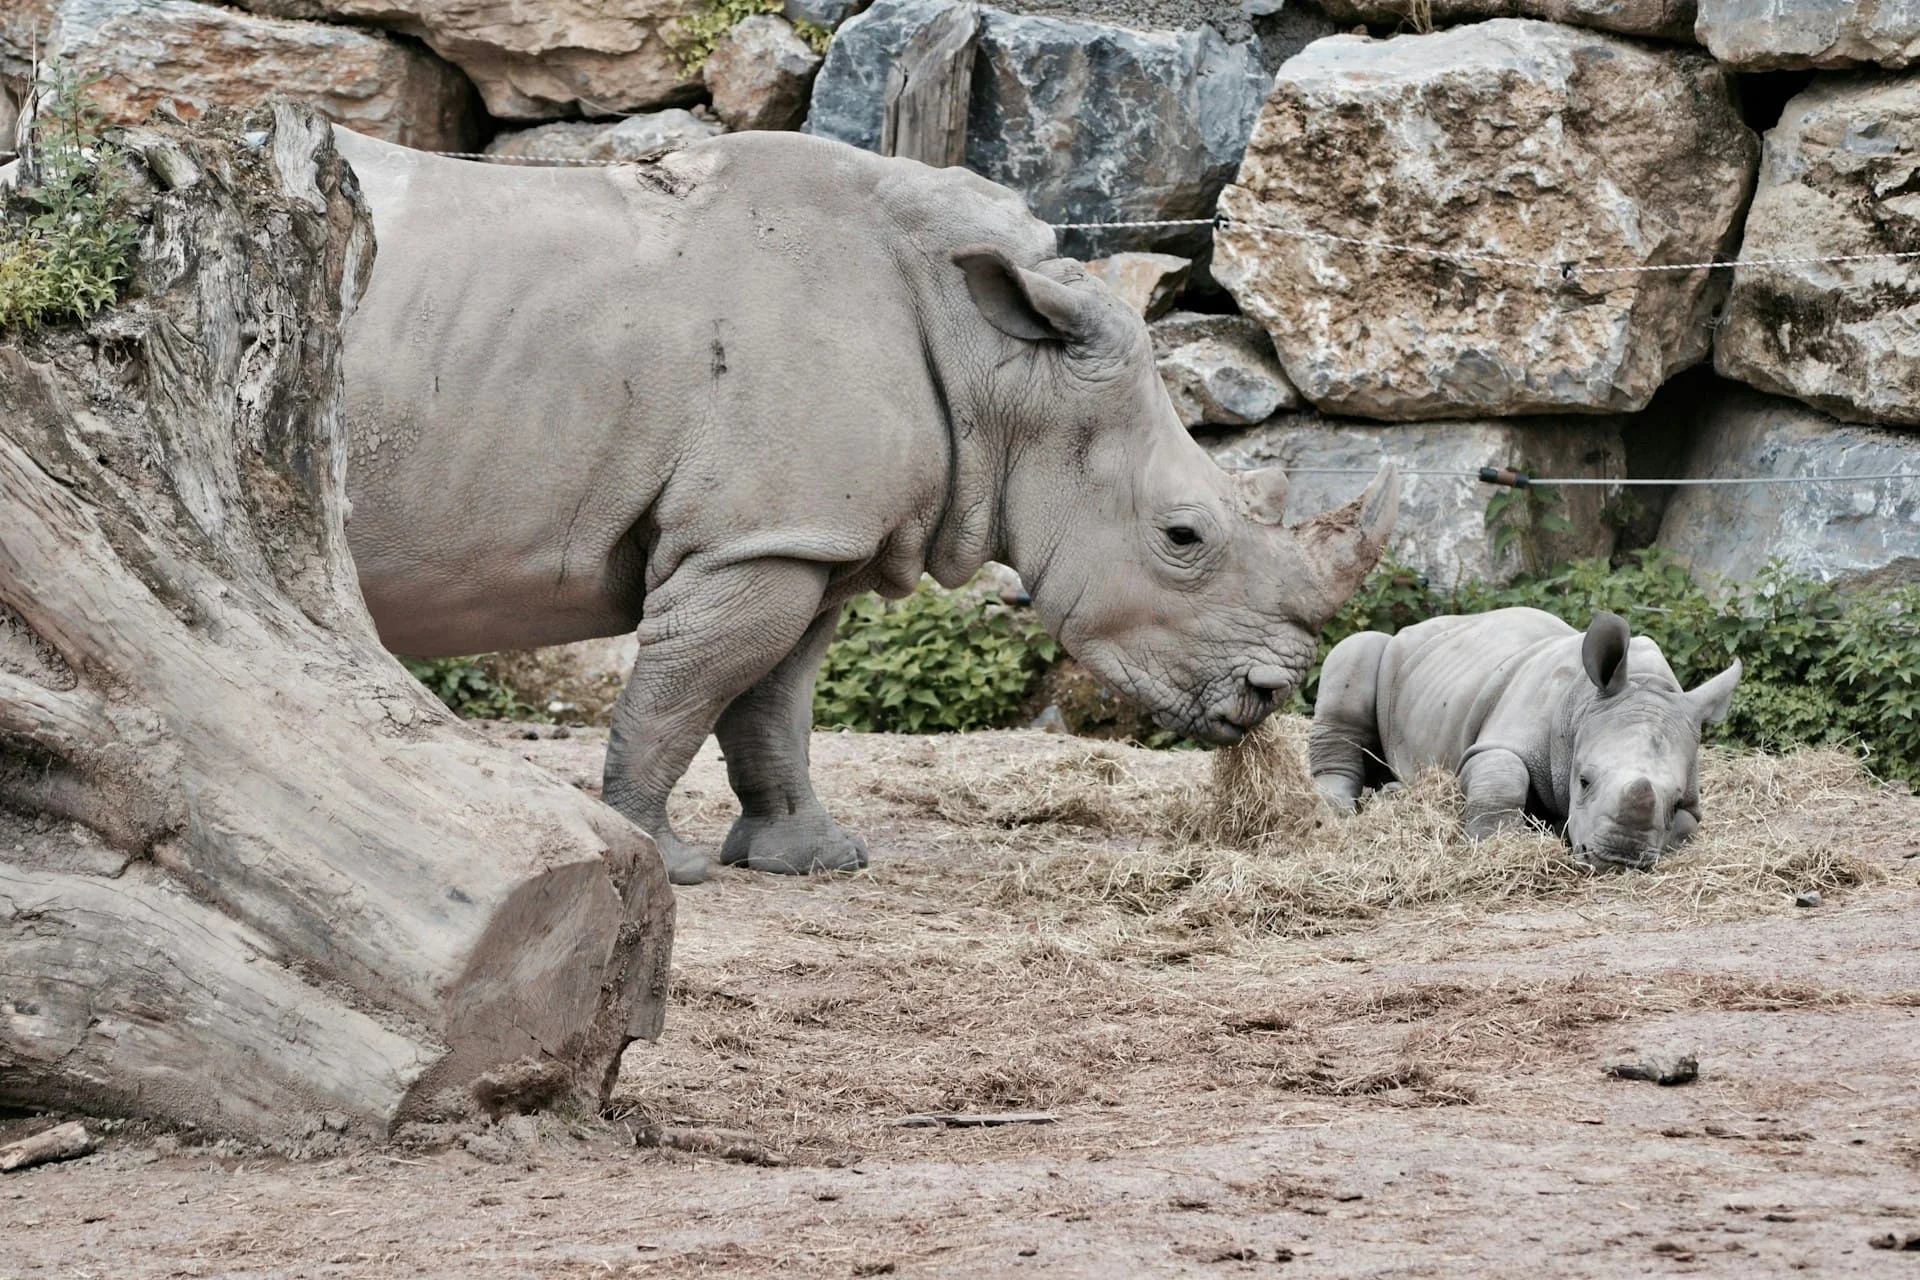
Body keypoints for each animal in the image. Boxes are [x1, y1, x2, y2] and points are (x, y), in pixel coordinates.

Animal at [330, 128, 1399, 885]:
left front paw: (810, 859)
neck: (1002, 366)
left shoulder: (806, 541)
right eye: (1183, 536)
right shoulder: (753, 539)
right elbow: (681, 697)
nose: (1267, 697)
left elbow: (772, 702)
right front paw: (655, 861)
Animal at [1309, 608, 1743, 868]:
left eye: (1675, 802)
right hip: (1390, 653)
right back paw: (1334, 811)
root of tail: (1414, 628)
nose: (1617, 859)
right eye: (1583, 781)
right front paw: (1495, 843)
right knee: (1358, 650)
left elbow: (1687, 828)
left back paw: (1395, 795)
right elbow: (1504, 774)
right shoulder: (1499, 739)